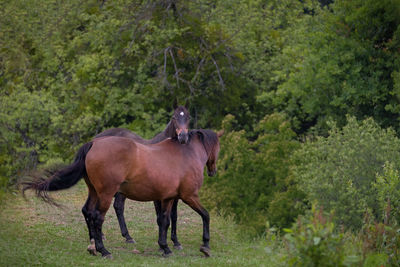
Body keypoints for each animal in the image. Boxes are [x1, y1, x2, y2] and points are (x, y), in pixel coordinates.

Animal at [96, 105, 191, 248]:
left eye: (188, 117)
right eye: (174, 117)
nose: (183, 137)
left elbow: (173, 216)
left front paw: (175, 241)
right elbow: (160, 217)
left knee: (116, 206)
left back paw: (126, 236)